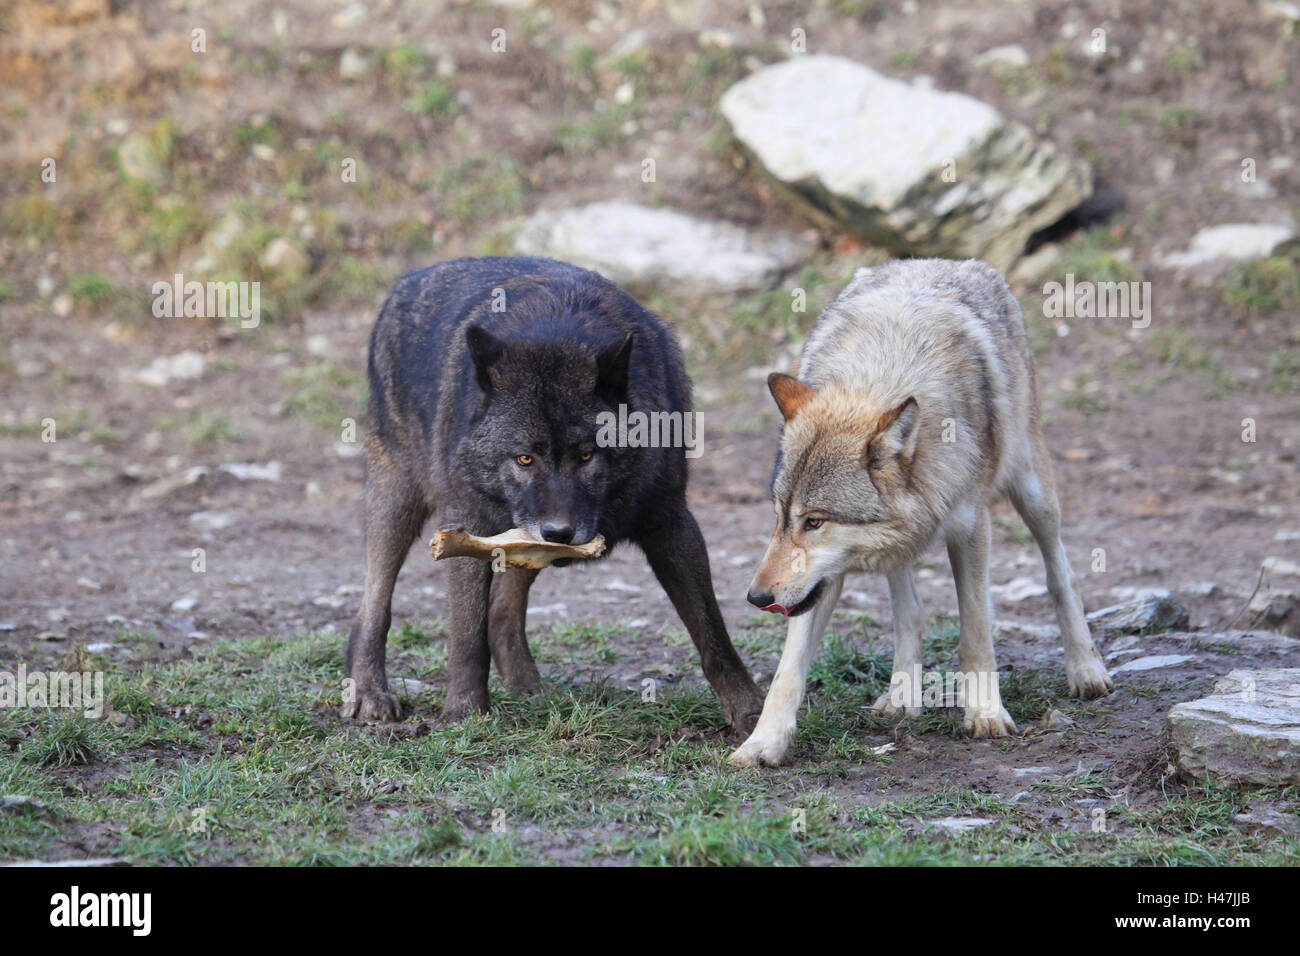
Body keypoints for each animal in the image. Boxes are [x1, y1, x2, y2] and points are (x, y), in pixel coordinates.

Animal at [342, 256, 764, 732]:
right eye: (524, 458)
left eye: (587, 456)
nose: (559, 532)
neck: (556, 332)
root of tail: (411, 277)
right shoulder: (467, 525)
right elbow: (466, 634)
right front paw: (465, 712)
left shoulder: (672, 523)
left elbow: (714, 634)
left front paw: (752, 713)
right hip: (400, 501)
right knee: (373, 605)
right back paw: (370, 691)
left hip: (521, 542)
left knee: (502, 613)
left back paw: (531, 690)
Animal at [730, 258, 1113, 768]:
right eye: (782, 517)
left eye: (814, 522)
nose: (755, 597)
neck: (883, 372)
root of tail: (943, 261)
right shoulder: (817, 584)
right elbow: (786, 671)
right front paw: (763, 743)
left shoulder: (972, 529)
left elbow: (976, 633)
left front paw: (986, 714)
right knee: (907, 609)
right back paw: (901, 694)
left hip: (1032, 489)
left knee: (1060, 573)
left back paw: (1086, 669)